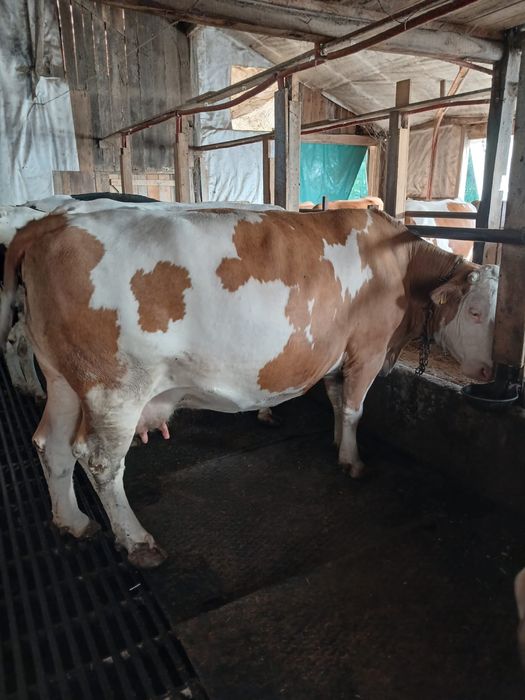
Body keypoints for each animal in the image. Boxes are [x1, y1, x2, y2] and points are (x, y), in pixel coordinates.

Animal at [0, 207, 499, 567]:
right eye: (475, 313)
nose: (490, 371)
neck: (399, 264)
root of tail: (48, 224)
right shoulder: (368, 349)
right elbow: (355, 407)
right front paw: (353, 460)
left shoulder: (336, 355)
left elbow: (336, 399)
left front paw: (337, 442)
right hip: (115, 388)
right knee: (100, 460)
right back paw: (139, 542)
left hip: (64, 379)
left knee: (51, 444)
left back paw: (73, 521)